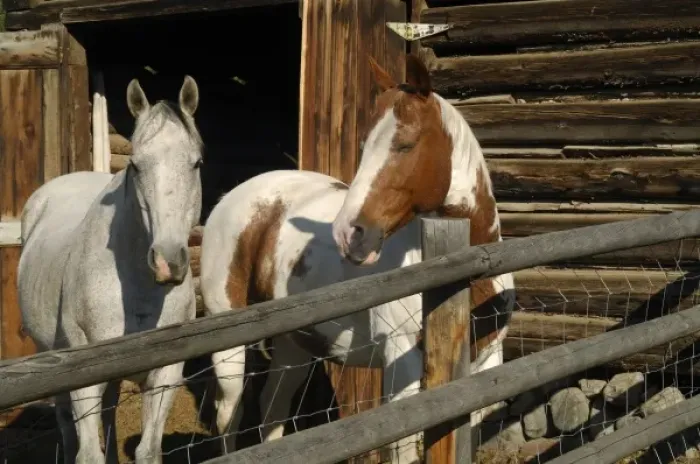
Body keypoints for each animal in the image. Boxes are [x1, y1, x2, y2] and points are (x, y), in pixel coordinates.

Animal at [17, 75, 203, 464]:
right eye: (136, 165)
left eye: (196, 163)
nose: (168, 262)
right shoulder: (82, 379)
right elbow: (88, 453)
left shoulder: (166, 375)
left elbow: (148, 449)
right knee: (65, 421)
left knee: (110, 409)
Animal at [199, 55, 514, 463]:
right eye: (364, 146)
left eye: (406, 144)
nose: (348, 233)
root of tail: (231, 196)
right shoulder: (402, 366)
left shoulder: (485, 361)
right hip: (228, 338)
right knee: (230, 415)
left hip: (293, 343)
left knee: (273, 408)